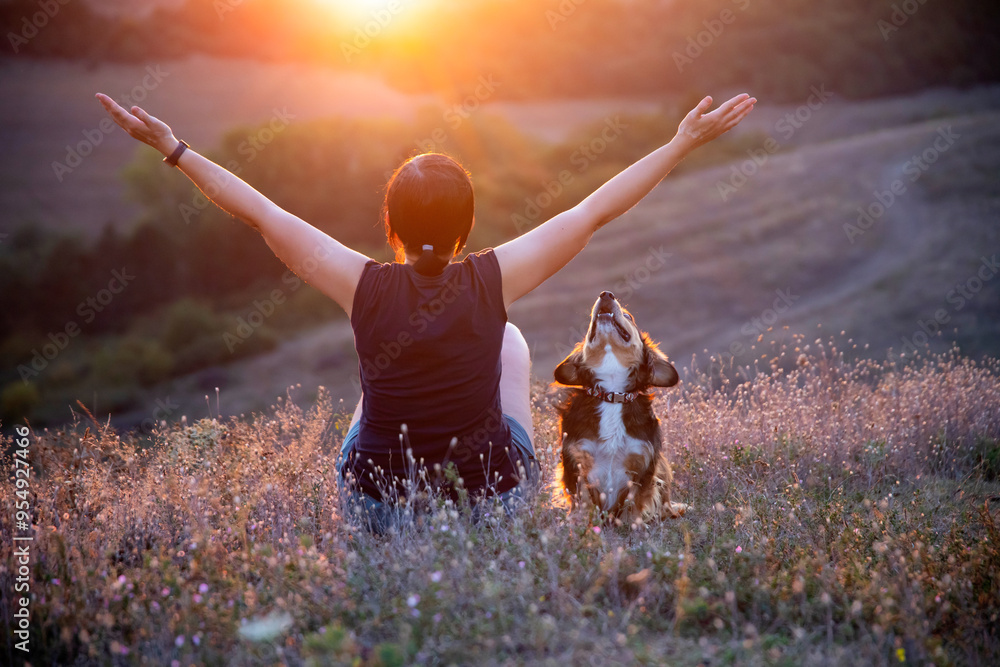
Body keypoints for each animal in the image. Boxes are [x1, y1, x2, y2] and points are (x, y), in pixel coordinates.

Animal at [556, 292, 688, 528]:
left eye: (629, 316)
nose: (606, 294)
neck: (612, 394)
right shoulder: (576, 460)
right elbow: (582, 500)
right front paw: (580, 524)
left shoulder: (643, 463)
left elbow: (634, 502)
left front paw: (633, 526)